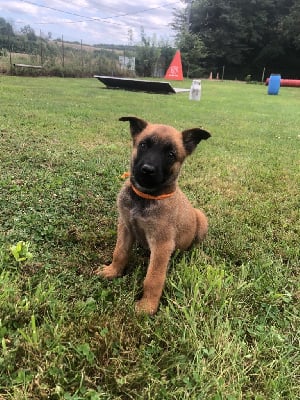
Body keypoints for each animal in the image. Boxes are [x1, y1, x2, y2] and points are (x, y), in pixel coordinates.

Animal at [96, 116, 211, 316]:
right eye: (143, 145)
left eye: (171, 154)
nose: (147, 169)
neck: (145, 197)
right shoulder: (125, 226)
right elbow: (119, 252)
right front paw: (112, 271)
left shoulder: (162, 244)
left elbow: (153, 278)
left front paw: (147, 306)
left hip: (201, 218)